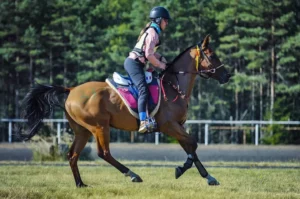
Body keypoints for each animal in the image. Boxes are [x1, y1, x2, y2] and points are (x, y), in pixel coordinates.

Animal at [20, 35, 232, 187]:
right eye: (213, 55)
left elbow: (190, 148)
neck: (173, 86)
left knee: (72, 155)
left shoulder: (177, 126)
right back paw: (133, 174)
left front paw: (209, 177)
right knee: (103, 153)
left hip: (83, 131)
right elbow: (193, 145)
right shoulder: (169, 126)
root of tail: (71, 90)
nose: (227, 75)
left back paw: (80, 184)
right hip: (99, 127)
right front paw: (181, 169)